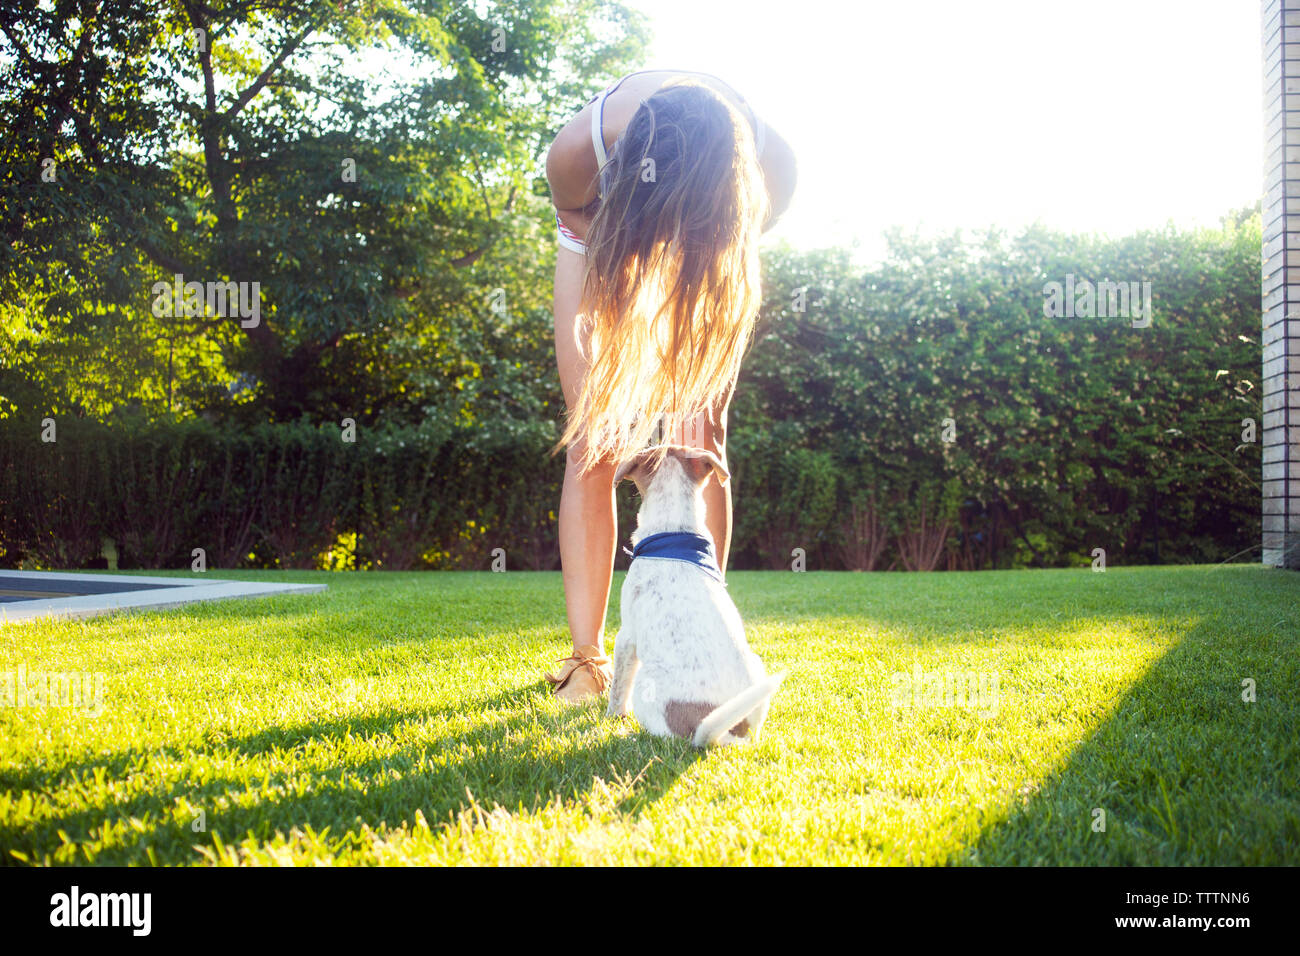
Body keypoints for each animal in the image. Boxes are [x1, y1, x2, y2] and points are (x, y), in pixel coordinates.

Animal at [605, 442, 785, 749]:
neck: (674, 531)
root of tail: (725, 734)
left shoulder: (626, 637)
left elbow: (617, 690)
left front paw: (611, 717)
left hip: (645, 685)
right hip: (756, 668)